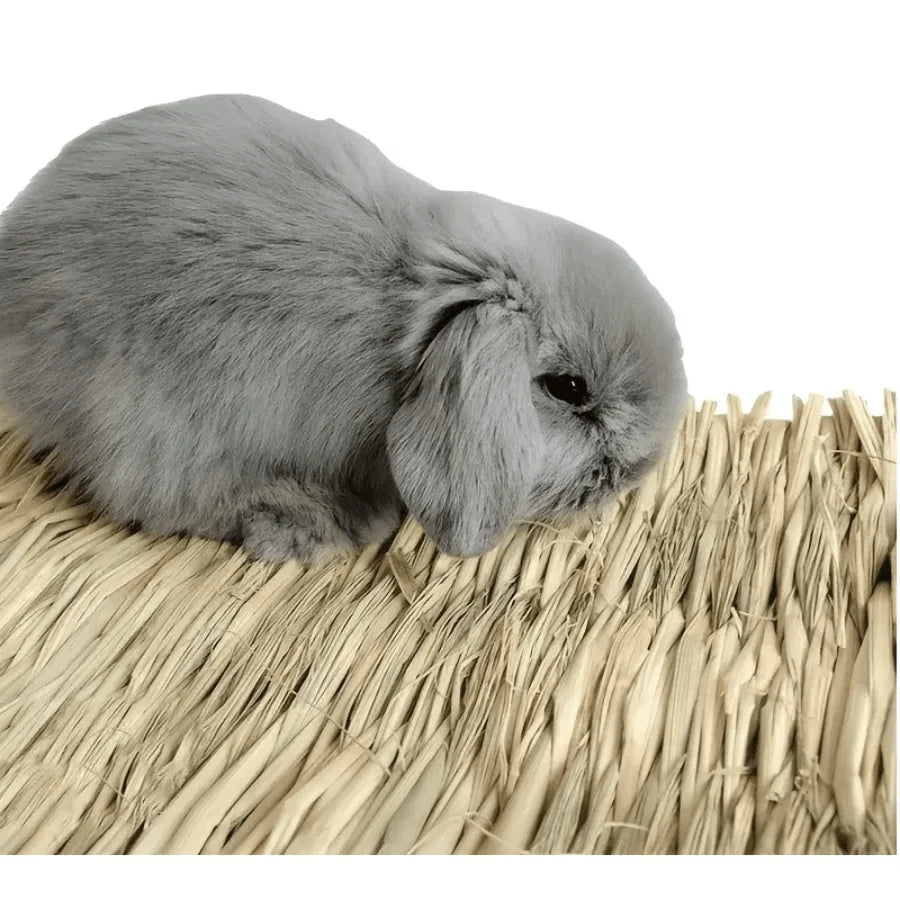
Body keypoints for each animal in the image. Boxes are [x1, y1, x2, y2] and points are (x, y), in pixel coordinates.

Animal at [0, 94, 687, 563]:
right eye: (568, 389)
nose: (637, 472)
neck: (415, 319)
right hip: (147, 422)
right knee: (163, 499)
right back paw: (312, 522)